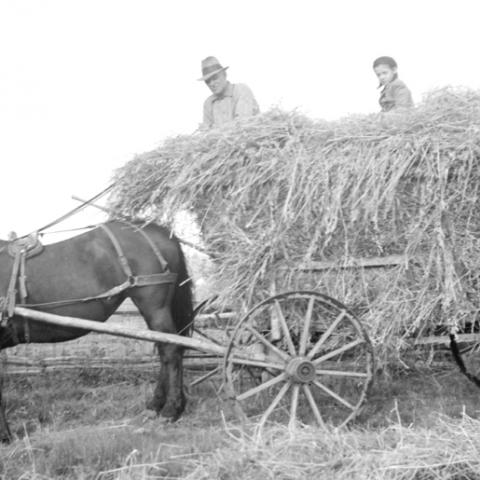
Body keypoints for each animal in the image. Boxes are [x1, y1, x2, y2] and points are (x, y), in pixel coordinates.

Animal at [0, 221, 193, 442]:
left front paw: (4, 434)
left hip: (155, 307)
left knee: (170, 350)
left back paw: (170, 410)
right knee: (165, 350)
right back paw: (155, 406)